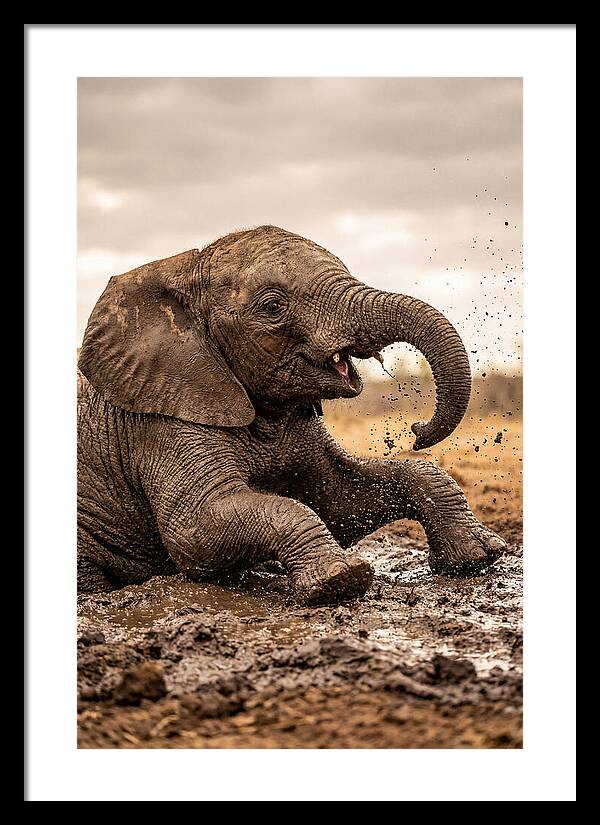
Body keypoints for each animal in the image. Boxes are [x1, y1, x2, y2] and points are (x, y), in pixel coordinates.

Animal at [77, 225, 506, 604]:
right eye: (272, 306)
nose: (417, 431)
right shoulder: (162, 422)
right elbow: (195, 531)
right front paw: (340, 580)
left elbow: (339, 499)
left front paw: (480, 556)